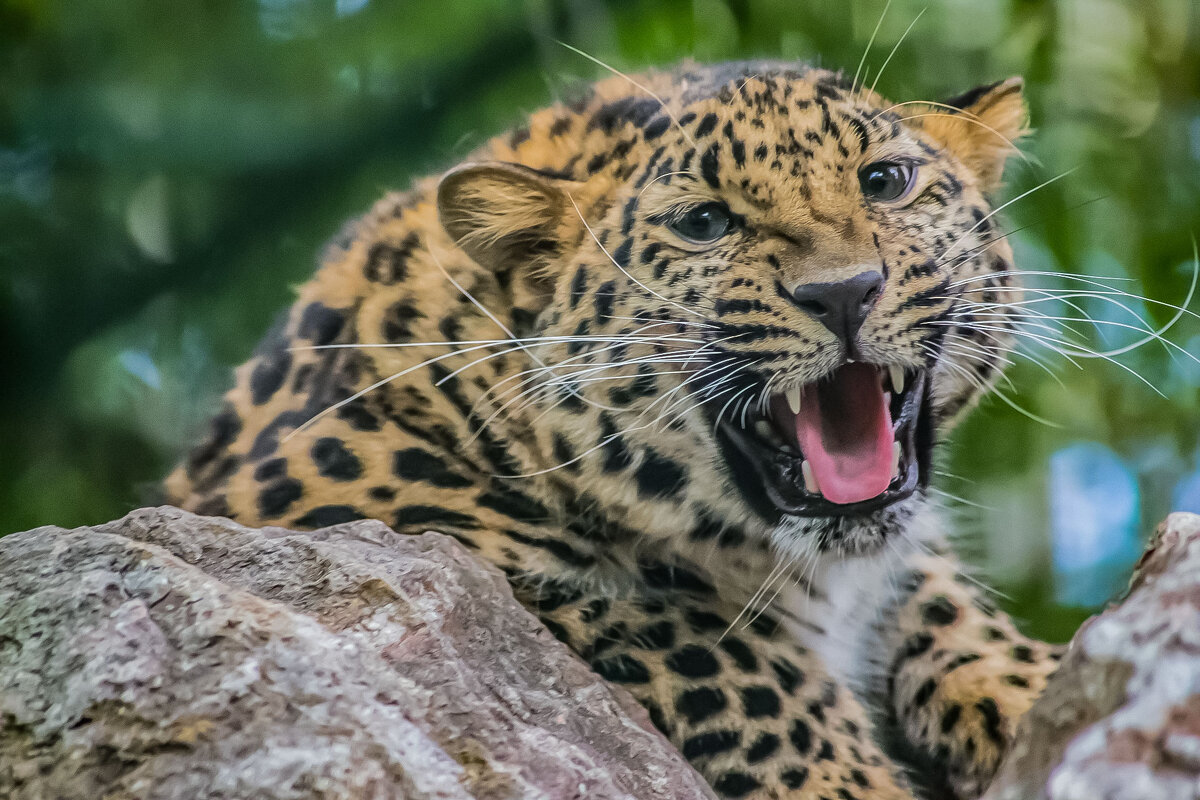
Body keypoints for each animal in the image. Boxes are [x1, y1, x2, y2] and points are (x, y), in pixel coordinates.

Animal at [166, 62, 1060, 800]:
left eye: (885, 181)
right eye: (703, 223)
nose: (844, 292)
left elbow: (943, 604)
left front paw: (1028, 684)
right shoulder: (353, 509)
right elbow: (706, 642)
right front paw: (849, 780)